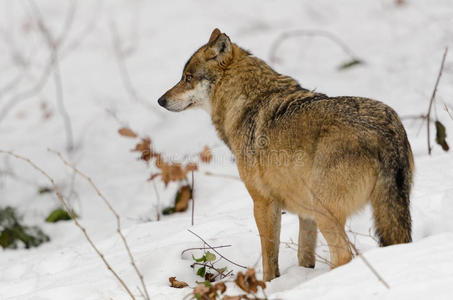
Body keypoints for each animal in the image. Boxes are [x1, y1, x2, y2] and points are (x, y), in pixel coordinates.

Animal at [158, 28, 414, 282]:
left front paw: (269, 285)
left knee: (343, 256)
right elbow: (304, 256)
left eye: (187, 77)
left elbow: (269, 258)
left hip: (326, 212)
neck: (246, 103)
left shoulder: (263, 202)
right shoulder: (305, 213)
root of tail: (385, 132)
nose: (161, 100)